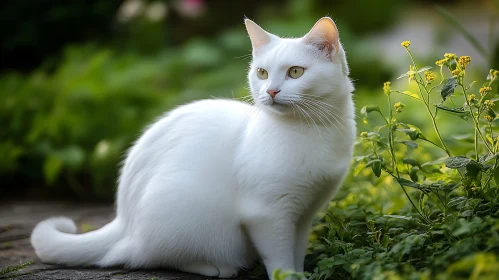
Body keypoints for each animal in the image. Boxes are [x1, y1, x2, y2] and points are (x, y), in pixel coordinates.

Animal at [30, 17, 356, 278]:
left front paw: (301, 274)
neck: (312, 131)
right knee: (147, 257)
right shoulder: (268, 215)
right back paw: (215, 267)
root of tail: (122, 221)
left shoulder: (303, 215)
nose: (271, 91)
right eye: (262, 73)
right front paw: (288, 276)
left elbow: (296, 253)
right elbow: (280, 260)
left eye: (296, 72)